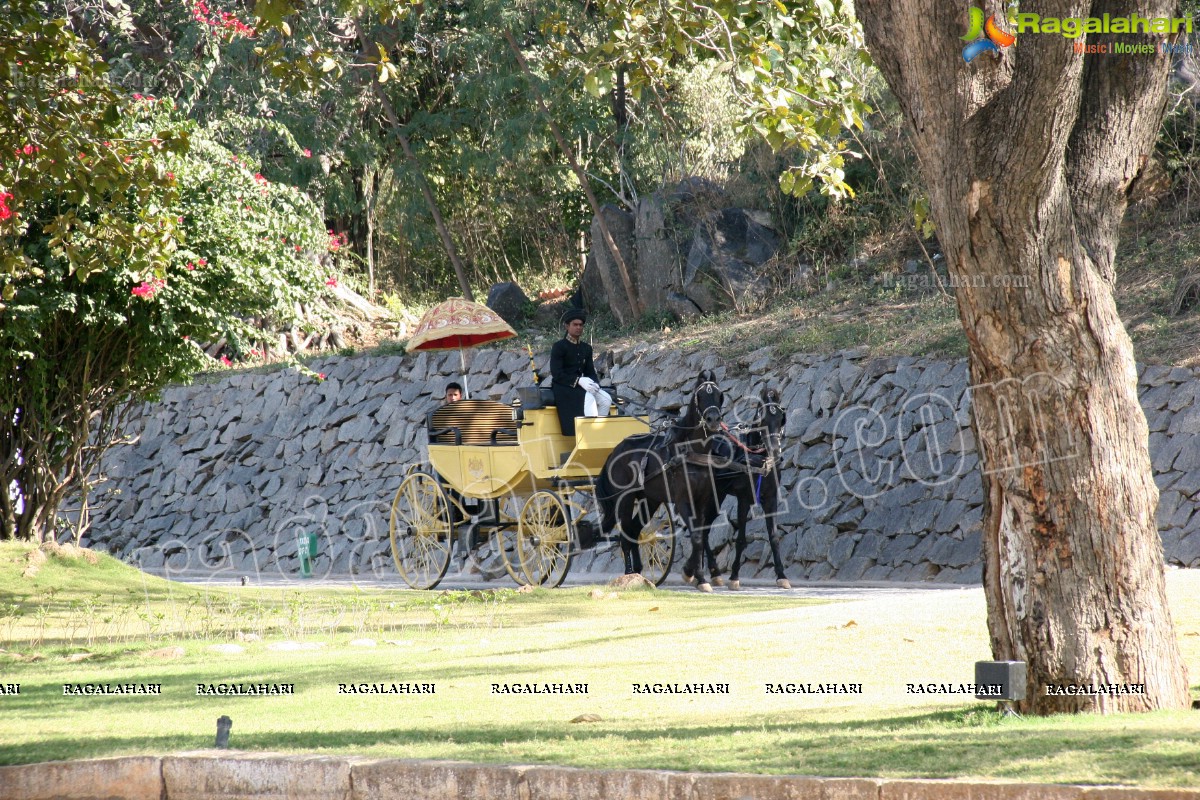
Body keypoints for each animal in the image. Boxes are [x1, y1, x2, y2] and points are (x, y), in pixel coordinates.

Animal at [597, 369, 724, 587]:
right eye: (700, 396)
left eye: (718, 394)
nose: (713, 419)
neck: (692, 450)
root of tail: (615, 450)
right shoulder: (682, 501)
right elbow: (697, 537)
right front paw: (696, 575)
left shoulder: (702, 500)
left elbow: (701, 535)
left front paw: (698, 574)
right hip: (625, 498)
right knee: (625, 536)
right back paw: (628, 573)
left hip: (650, 499)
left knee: (634, 531)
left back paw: (638, 574)